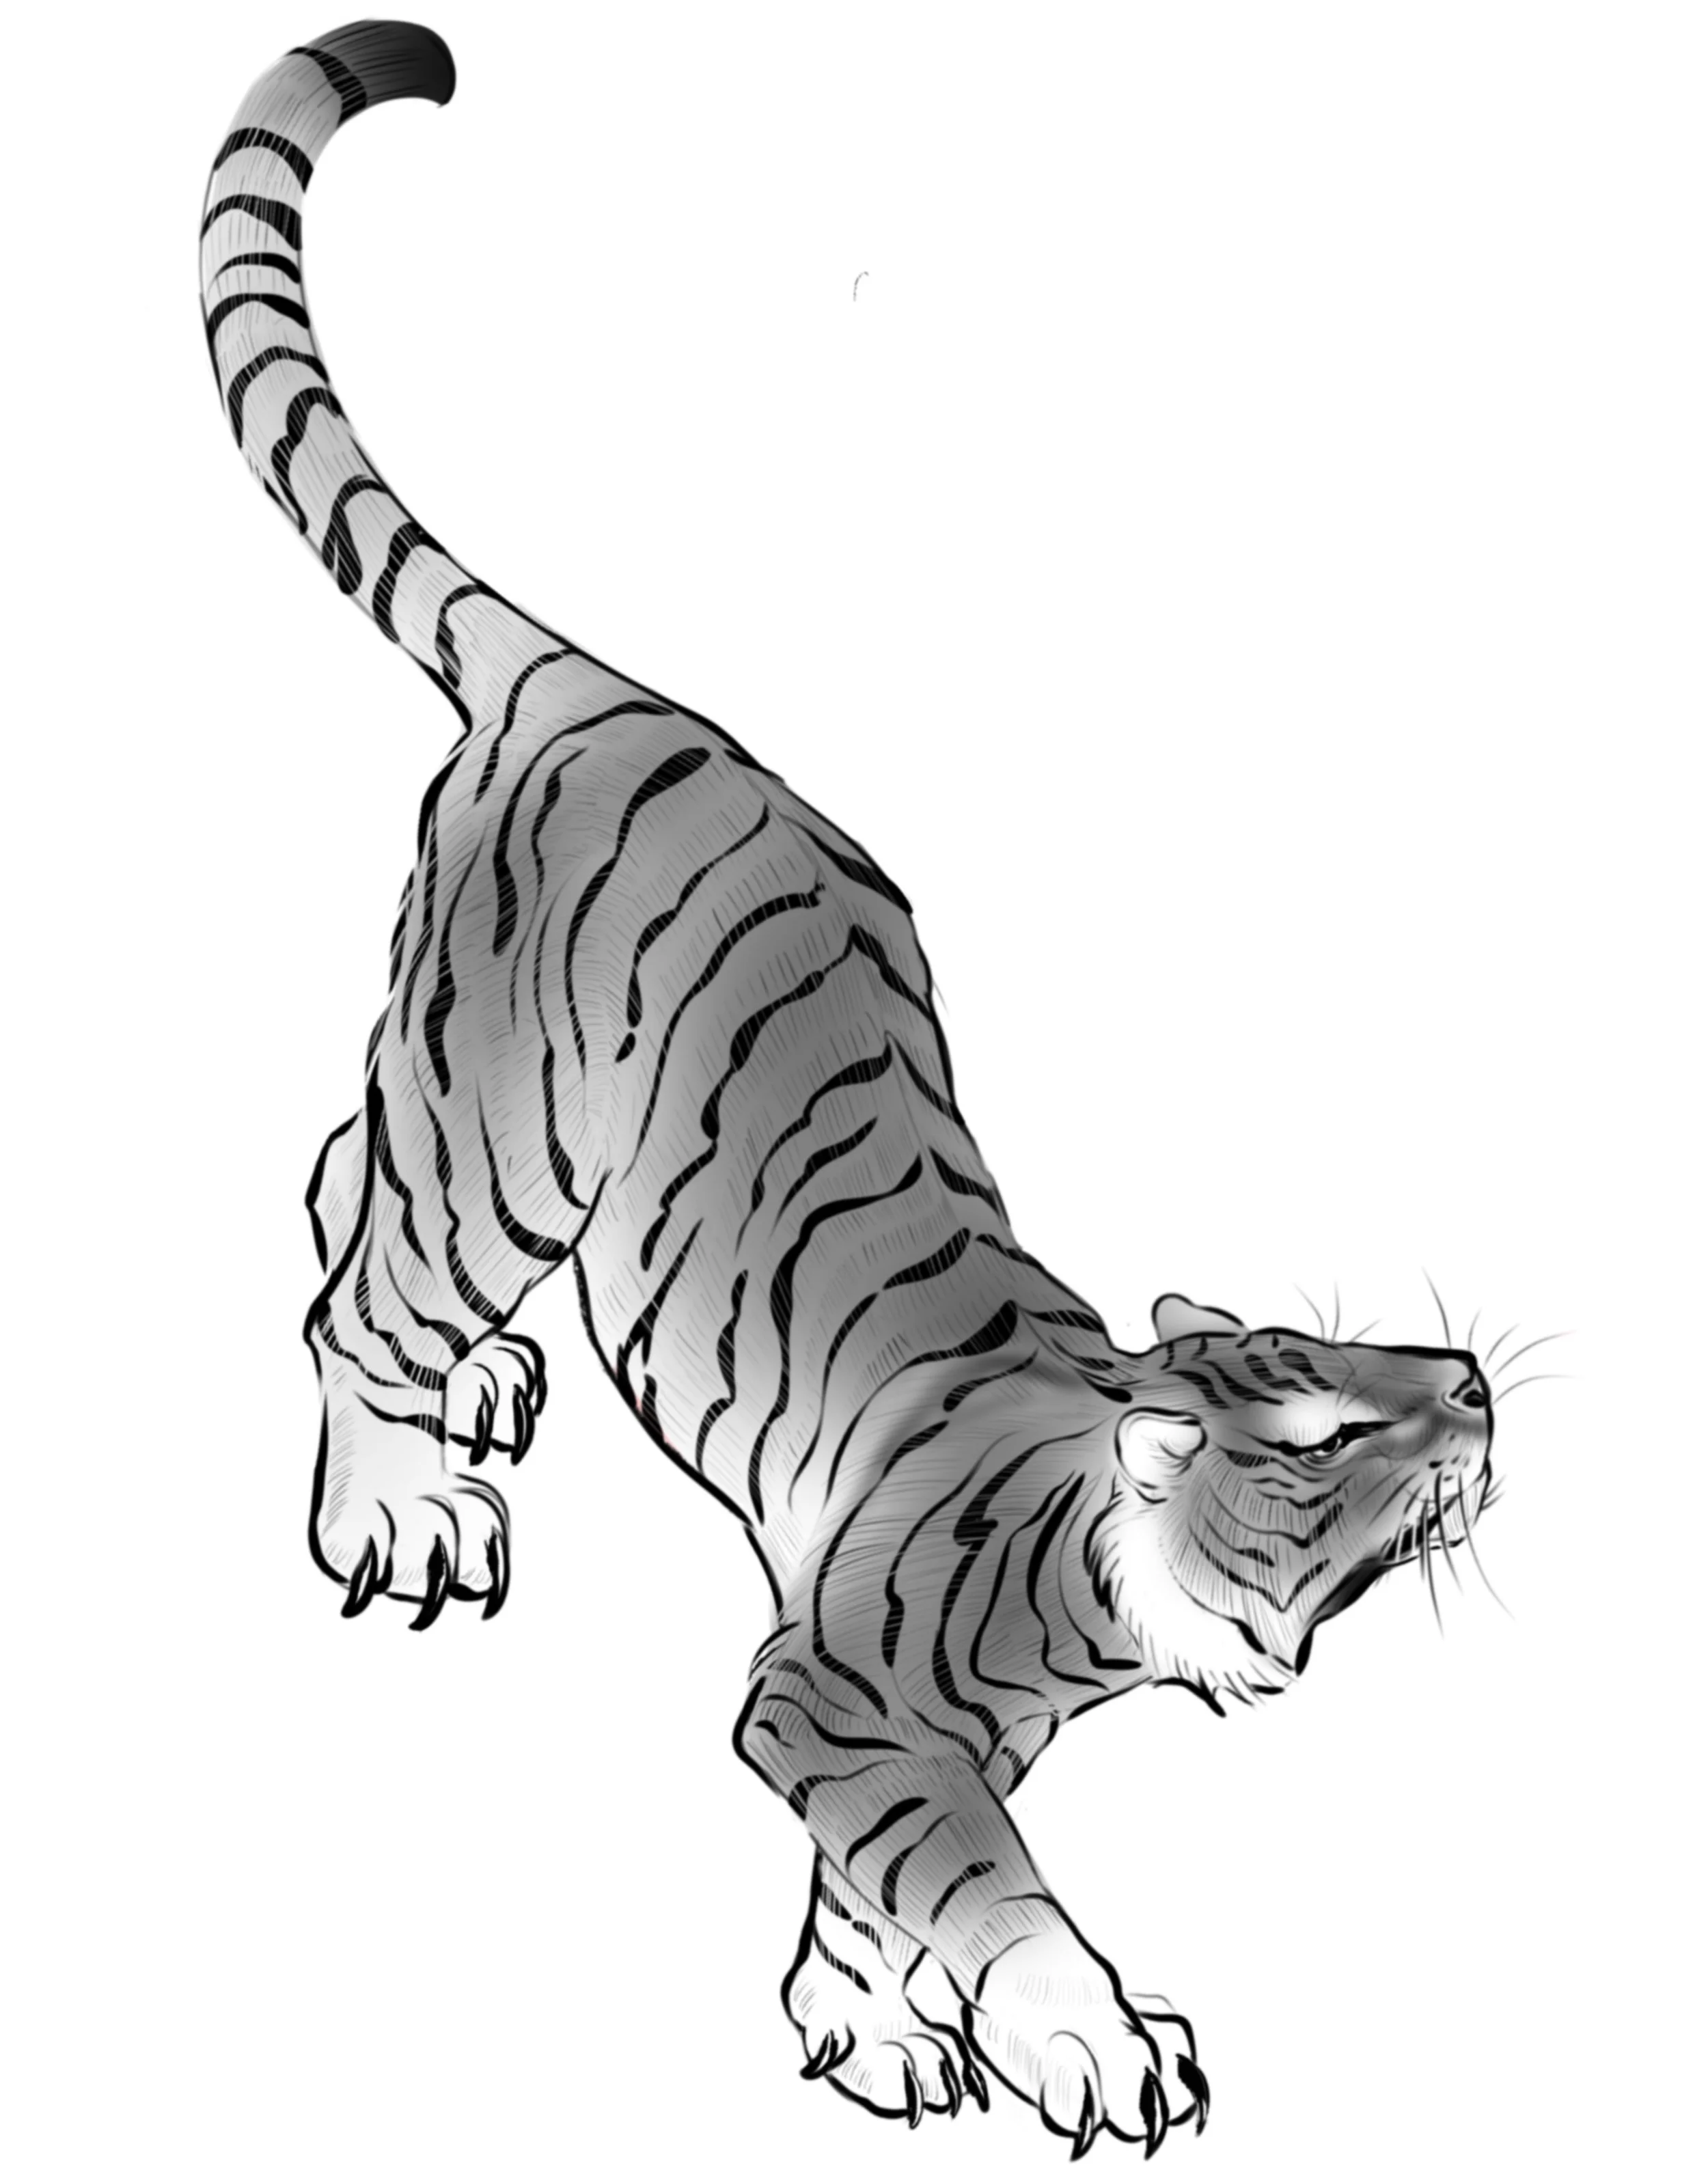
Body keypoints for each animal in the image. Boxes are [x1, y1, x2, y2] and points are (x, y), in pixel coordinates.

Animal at [200, 21, 1498, 2157]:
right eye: (1322, 1428)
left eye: (1369, 1346)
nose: (1472, 1383)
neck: (1104, 1567)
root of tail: (601, 687)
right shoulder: (829, 1693)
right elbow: (974, 1870)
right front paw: (1081, 2033)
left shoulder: (922, 1725)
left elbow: (879, 1882)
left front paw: (862, 2023)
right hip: (504, 1131)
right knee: (359, 1287)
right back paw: (402, 1497)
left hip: (456, 1092)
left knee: (332, 1167)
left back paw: (477, 1389)